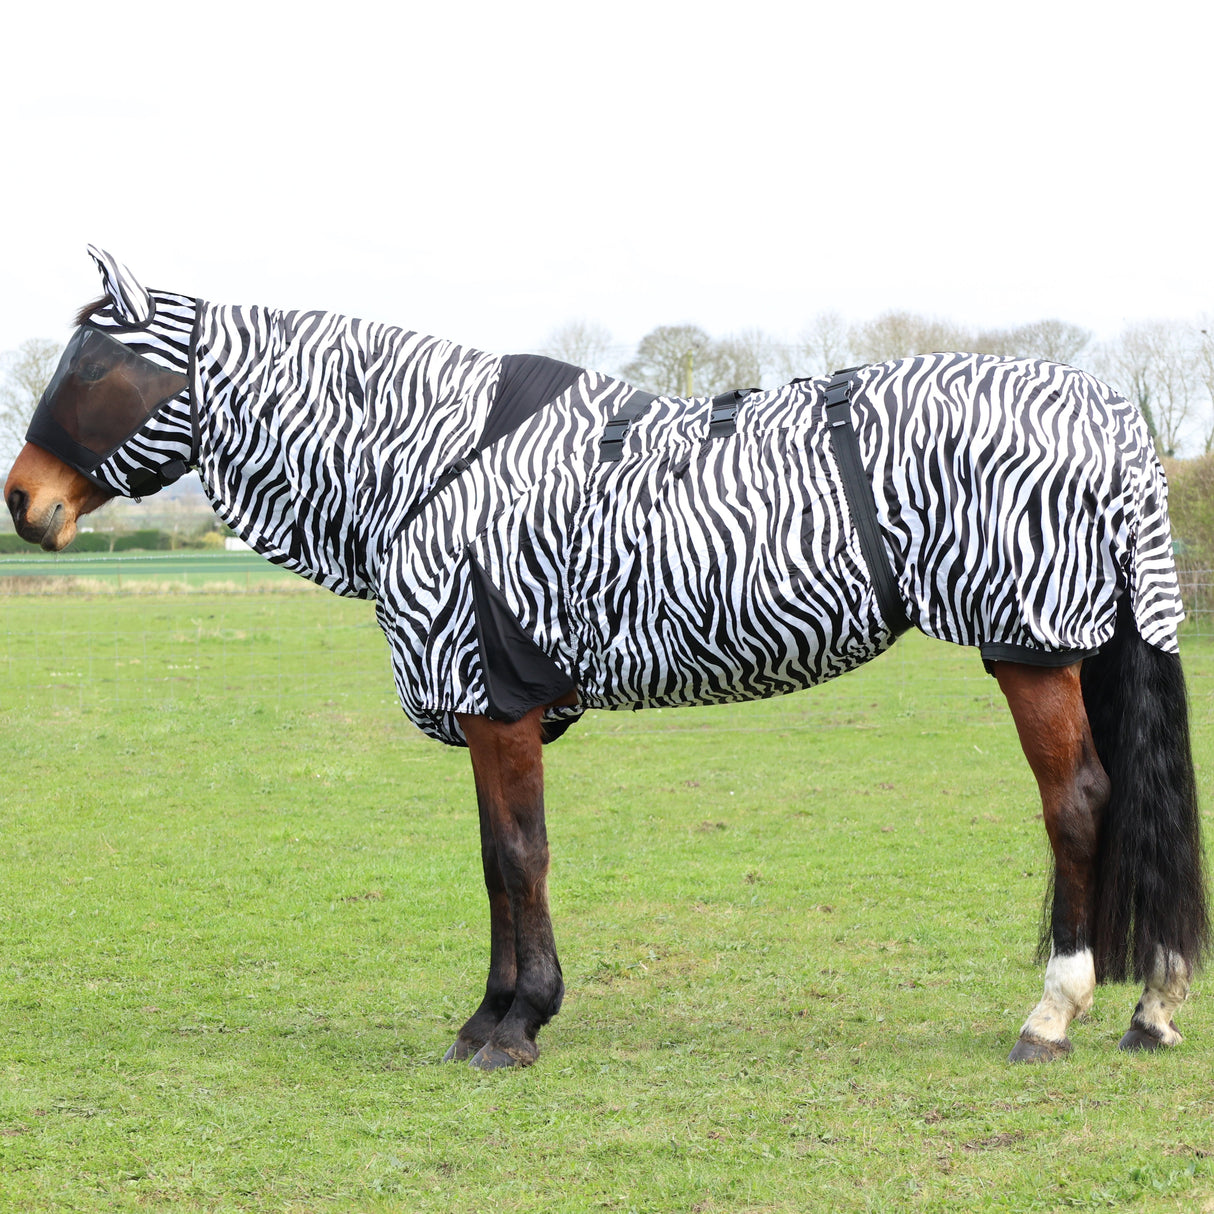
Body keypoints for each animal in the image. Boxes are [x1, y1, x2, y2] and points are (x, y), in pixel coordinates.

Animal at [5, 246, 1206, 1069]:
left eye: (97, 363)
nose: (24, 500)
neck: (435, 459)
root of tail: (1103, 402)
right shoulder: (488, 708)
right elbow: (494, 858)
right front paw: (489, 1014)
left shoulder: (495, 697)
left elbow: (517, 855)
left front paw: (515, 1022)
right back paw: (1147, 1003)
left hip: (1029, 652)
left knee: (1080, 804)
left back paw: (1053, 1010)